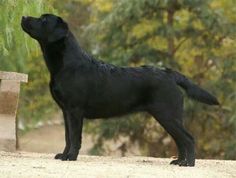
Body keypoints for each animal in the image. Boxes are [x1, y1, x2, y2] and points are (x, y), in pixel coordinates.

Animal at [21, 13, 218, 167]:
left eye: (43, 20)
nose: (23, 17)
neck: (67, 64)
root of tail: (169, 74)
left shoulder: (75, 111)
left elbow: (75, 137)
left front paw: (71, 157)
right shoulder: (65, 112)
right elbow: (67, 136)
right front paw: (63, 155)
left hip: (167, 114)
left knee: (188, 138)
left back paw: (188, 163)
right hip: (168, 117)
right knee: (181, 140)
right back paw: (179, 161)